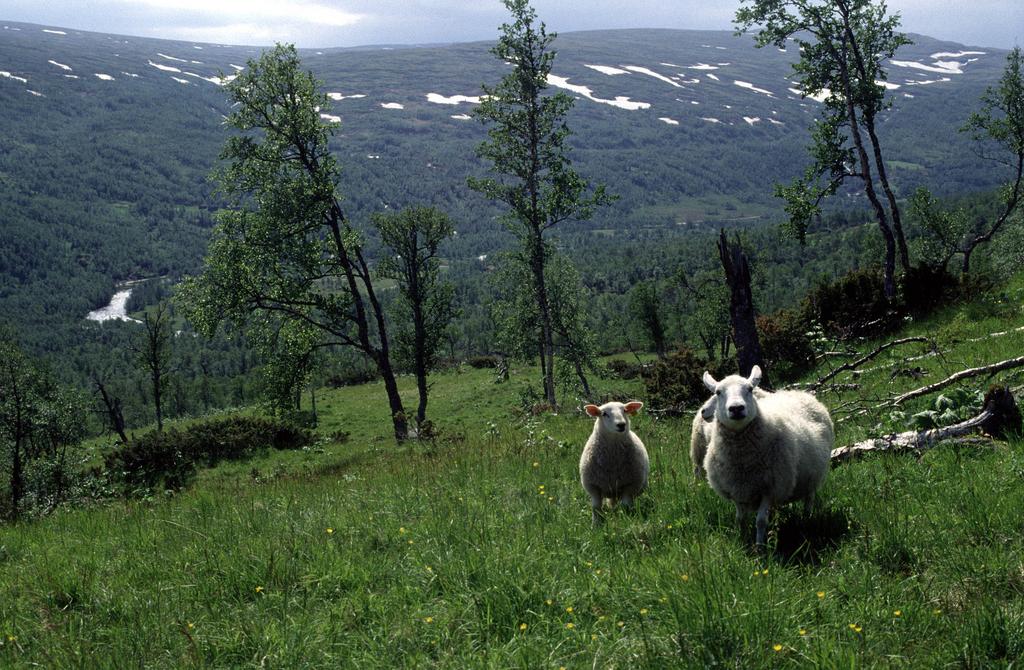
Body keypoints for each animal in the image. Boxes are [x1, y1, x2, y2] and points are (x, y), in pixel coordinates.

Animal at [700, 366, 835, 545]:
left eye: (750, 389)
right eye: (718, 392)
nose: (736, 408)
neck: (743, 461)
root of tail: (798, 392)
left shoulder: (770, 488)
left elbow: (761, 521)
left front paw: (760, 546)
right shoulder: (736, 490)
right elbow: (740, 520)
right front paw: (743, 541)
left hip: (812, 477)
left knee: (809, 500)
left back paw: (807, 520)